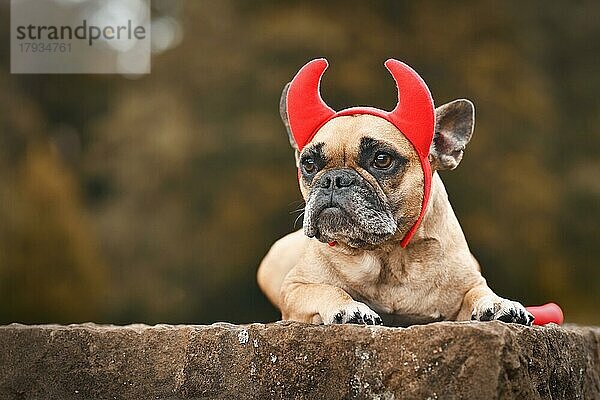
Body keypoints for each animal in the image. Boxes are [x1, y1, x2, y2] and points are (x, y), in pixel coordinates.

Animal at [258, 60, 536, 328]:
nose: (334, 179)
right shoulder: (294, 288)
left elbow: (479, 291)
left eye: (382, 159)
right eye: (309, 164)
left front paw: (500, 303)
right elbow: (326, 289)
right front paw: (350, 309)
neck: (386, 254)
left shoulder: (468, 283)